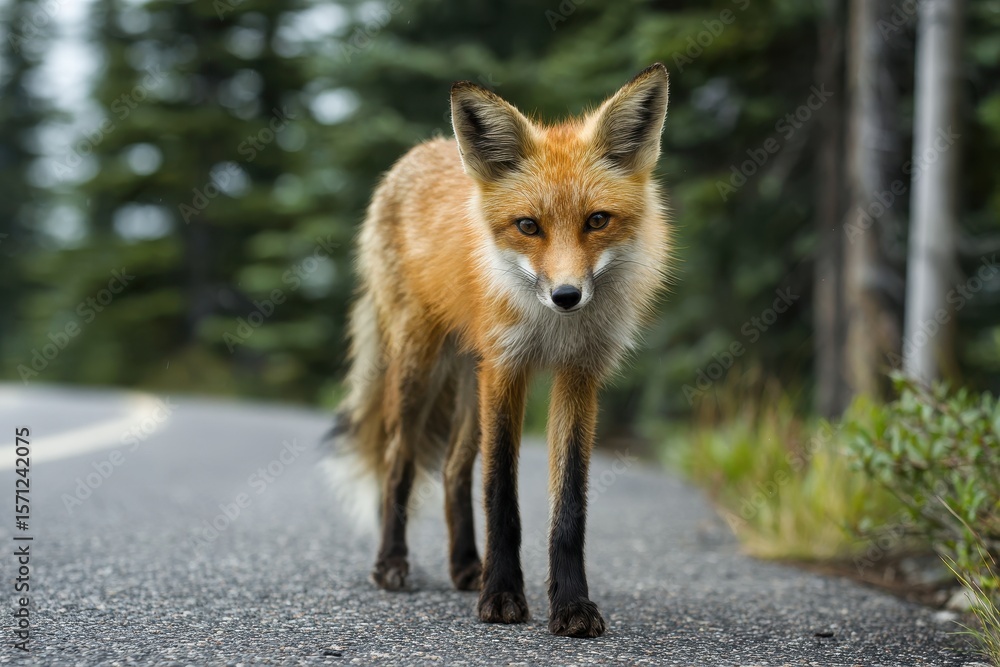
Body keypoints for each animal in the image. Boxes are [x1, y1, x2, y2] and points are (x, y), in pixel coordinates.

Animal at [326, 63, 671, 638]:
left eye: (597, 220)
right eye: (528, 226)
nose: (566, 296)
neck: (551, 330)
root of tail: (420, 150)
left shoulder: (578, 375)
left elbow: (569, 506)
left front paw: (571, 605)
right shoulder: (507, 369)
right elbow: (501, 496)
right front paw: (503, 595)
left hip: (471, 375)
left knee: (451, 470)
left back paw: (467, 564)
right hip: (421, 364)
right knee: (399, 460)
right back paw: (393, 562)